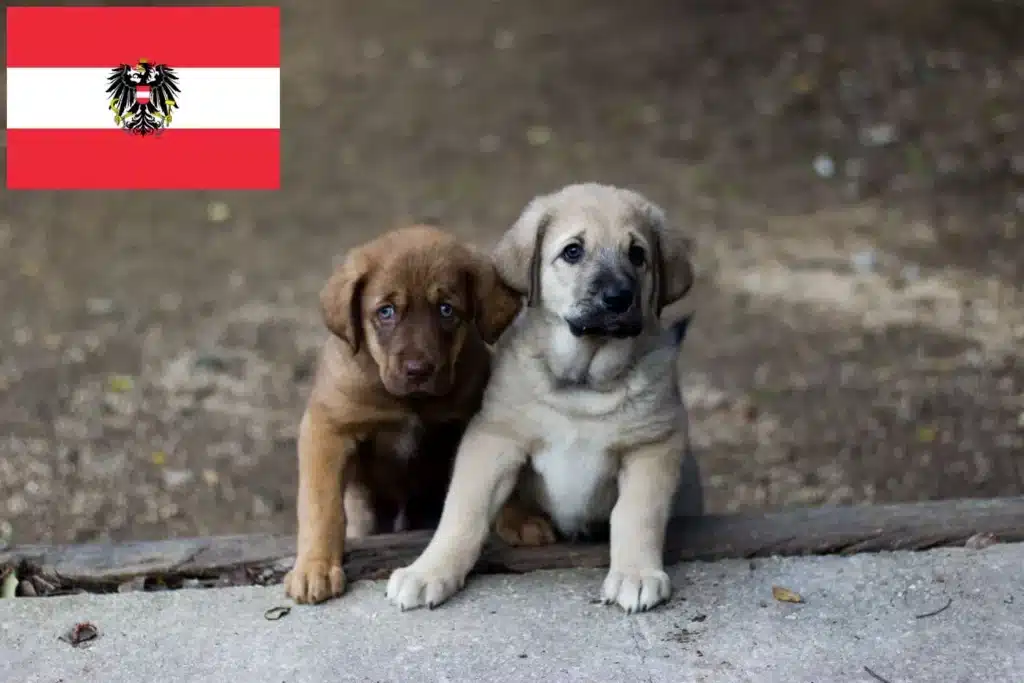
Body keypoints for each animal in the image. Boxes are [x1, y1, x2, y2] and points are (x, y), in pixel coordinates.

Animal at [284, 227, 520, 606]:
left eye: (446, 310)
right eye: (386, 311)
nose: (418, 370)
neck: (409, 403)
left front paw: (522, 519)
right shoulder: (327, 427)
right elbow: (321, 505)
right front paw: (314, 568)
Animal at [385, 183, 696, 614]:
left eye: (637, 254)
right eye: (573, 251)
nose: (619, 297)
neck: (582, 385)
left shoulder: (653, 446)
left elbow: (637, 514)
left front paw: (635, 573)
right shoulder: (494, 438)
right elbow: (464, 512)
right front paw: (429, 571)